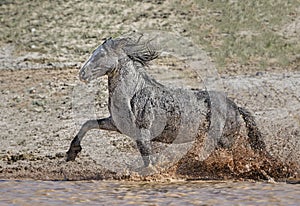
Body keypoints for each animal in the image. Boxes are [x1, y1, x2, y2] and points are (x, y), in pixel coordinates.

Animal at [66, 33, 264, 169]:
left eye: (100, 55)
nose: (82, 74)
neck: (133, 93)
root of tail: (235, 107)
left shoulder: (142, 133)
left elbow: (148, 160)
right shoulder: (115, 124)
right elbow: (88, 124)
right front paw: (71, 153)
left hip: (224, 142)